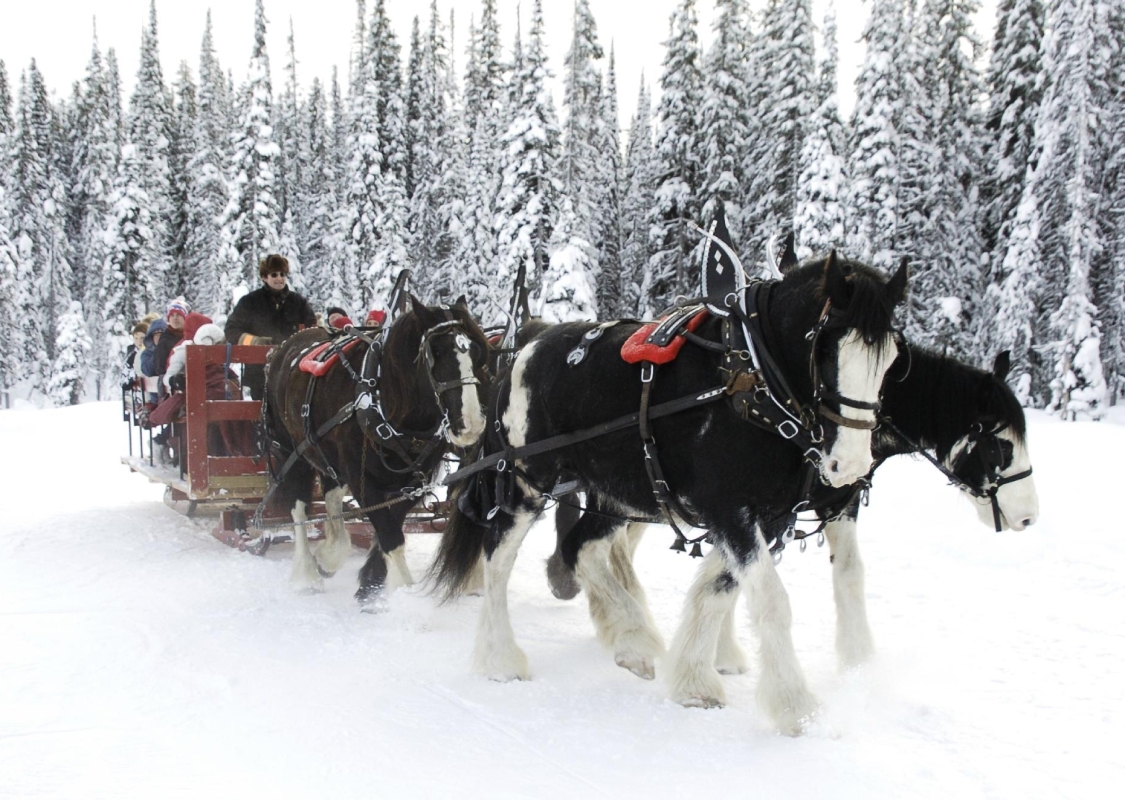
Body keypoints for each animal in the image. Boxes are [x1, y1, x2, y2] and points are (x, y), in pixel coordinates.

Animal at [263, 296, 491, 605]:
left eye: (478, 353)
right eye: (436, 352)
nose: (471, 423)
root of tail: (286, 344)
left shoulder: (410, 483)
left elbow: (389, 527)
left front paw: (370, 580)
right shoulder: (363, 481)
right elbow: (390, 535)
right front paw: (404, 593)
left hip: (326, 455)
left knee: (332, 496)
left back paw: (329, 553)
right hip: (292, 453)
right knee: (298, 509)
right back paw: (307, 574)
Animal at [429, 251, 908, 734]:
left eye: (891, 359)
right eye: (824, 348)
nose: (850, 466)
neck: (751, 380)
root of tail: (526, 347)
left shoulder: (769, 517)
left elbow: (719, 589)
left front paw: (695, 680)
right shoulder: (731, 510)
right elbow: (770, 600)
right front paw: (795, 705)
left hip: (615, 493)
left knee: (581, 547)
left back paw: (634, 640)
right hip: (527, 482)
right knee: (498, 558)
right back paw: (500, 658)